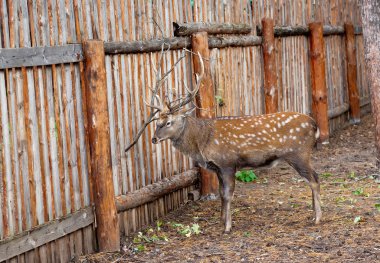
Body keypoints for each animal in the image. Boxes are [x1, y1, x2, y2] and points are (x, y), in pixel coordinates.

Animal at [140, 51, 320, 233]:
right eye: (157, 122)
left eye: (169, 122)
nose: (154, 138)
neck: (202, 142)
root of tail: (314, 124)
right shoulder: (217, 167)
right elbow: (221, 192)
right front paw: (221, 221)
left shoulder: (227, 162)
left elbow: (228, 194)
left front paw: (227, 227)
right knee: (315, 176)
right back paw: (312, 214)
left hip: (298, 153)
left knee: (313, 180)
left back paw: (317, 218)